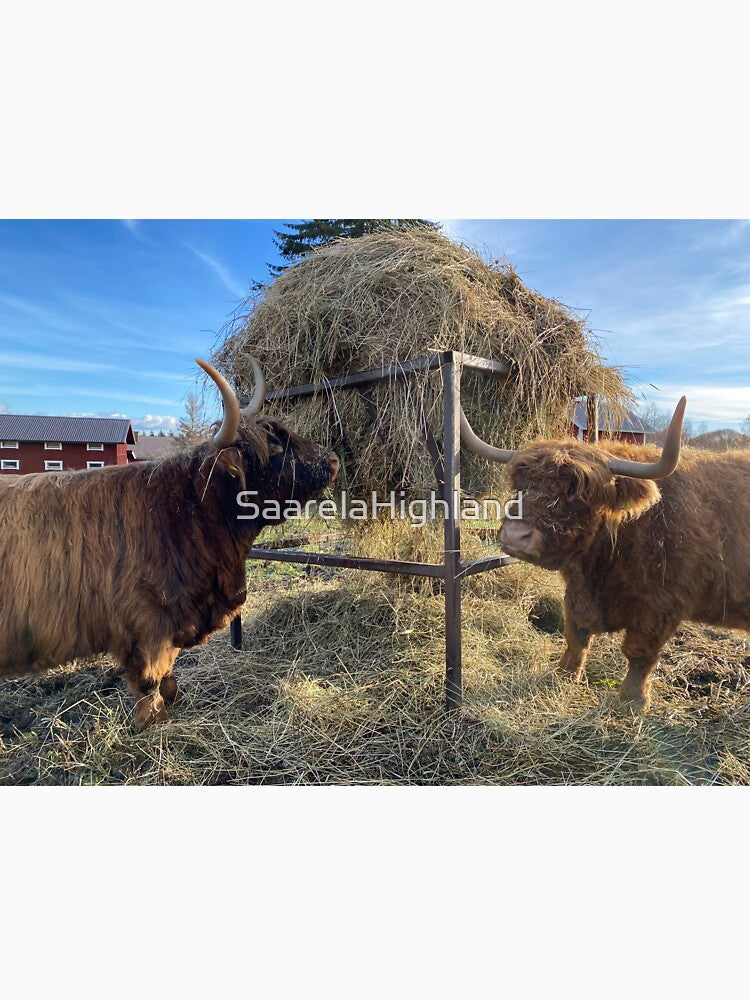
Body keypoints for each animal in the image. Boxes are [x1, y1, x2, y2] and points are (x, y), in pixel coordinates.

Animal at [0, 359, 339, 728]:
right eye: (275, 447)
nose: (332, 459)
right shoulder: (146, 624)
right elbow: (150, 680)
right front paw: (155, 722)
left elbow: (168, 675)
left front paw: (174, 701)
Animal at [459, 397, 750, 712]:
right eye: (521, 485)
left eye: (576, 493)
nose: (515, 536)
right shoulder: (578, 594)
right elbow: (576, 636)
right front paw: (564, 675)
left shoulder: (662, 605)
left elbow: (639, 654)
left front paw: (633, 701)